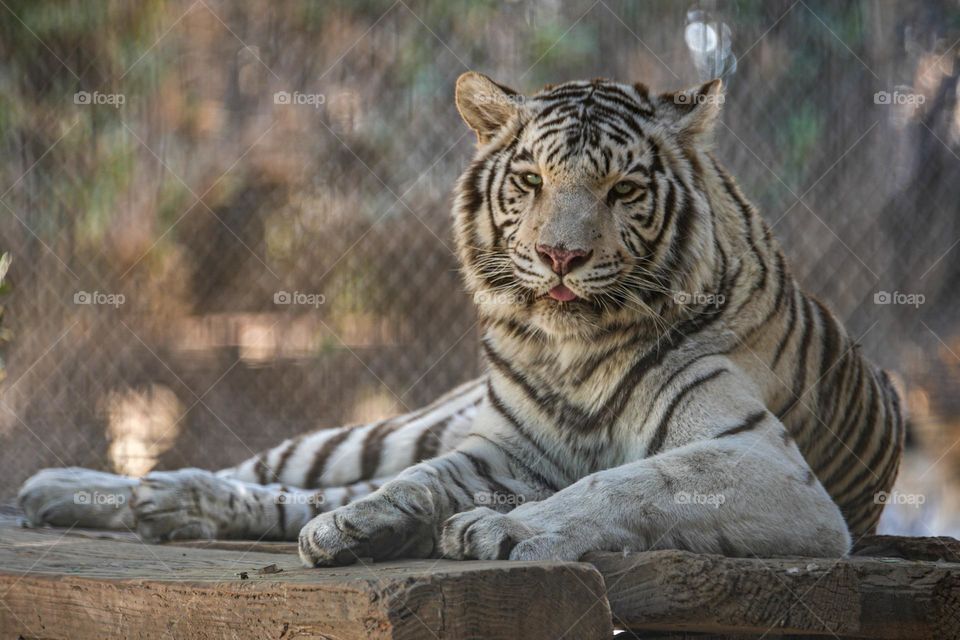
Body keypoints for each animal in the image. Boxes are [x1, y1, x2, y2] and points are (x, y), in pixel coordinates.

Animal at [18, 72, 904, 566]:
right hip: (387, 430)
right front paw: (366, 525)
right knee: (278, 472)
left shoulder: (763, 465)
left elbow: (624, 480)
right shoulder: (503, 450)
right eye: (532, 178)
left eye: (622, 189)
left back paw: (170, 505)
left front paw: (499, 532)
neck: (574, 351)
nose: (559, 256)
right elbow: (421, 481)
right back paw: (82, 489)